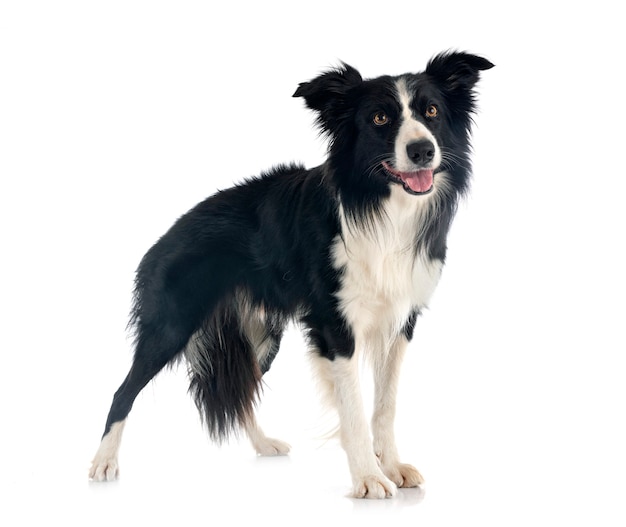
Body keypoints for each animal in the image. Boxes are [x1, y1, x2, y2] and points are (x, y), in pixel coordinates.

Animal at [89, 50, 492, 500]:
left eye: (432, 111)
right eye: (380, 118)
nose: (422, 150)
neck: (381, 207)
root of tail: (160, 241)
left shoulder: (400, 320)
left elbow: (384, 405)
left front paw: (391, 467)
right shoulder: (335, 325)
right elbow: (354, 407)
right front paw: (368, 478)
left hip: (261, 337)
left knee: (242, 390)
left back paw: (264, 444)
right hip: (171, 325)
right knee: (123, 391)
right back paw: (103, 462)